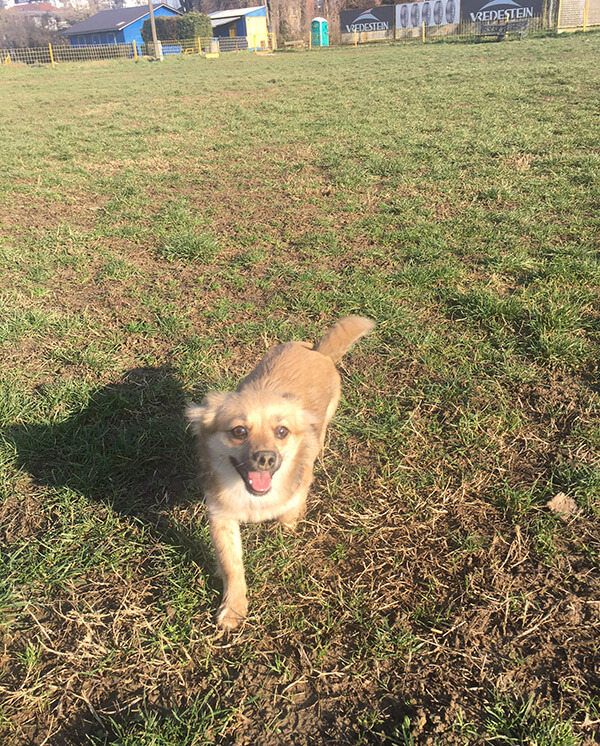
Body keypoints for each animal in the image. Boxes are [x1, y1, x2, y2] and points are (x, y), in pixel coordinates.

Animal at [186, 316, 375, 629]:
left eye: (282, 431)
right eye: (239, 431)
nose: (266, 457)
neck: (254, 499)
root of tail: (317, 351)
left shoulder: (297, 491)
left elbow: (288, 517)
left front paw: (284, 535)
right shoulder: (221, 516)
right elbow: (232, 565)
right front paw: (234, 609)